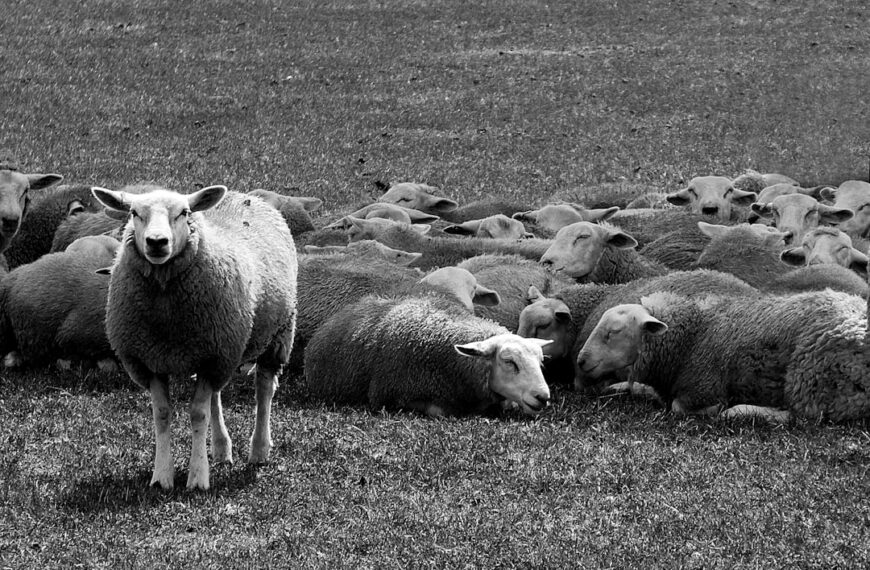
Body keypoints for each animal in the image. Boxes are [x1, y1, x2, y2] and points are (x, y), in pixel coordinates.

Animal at [91, 185, 298, 491]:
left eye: (184, 212)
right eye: (134, 213)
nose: (156, 242)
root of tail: (243, 195)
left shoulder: (212, 357)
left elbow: (197, 414)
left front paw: (198, 477)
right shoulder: (153, 360)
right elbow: (162, 414)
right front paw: (161, 476)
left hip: (277, 333)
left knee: (263, 390)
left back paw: (259, 450)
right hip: (219, 349)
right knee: (216, 396)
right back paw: (222, 449)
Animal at [576, 289, 870, 422]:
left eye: (614, 332)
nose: (580, 361)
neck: (691, 337)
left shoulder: (705, 388)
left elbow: (679, 407)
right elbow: (641, 389)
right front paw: (620, 387)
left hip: (810, 378)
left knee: (803, 416)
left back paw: (744, 411)